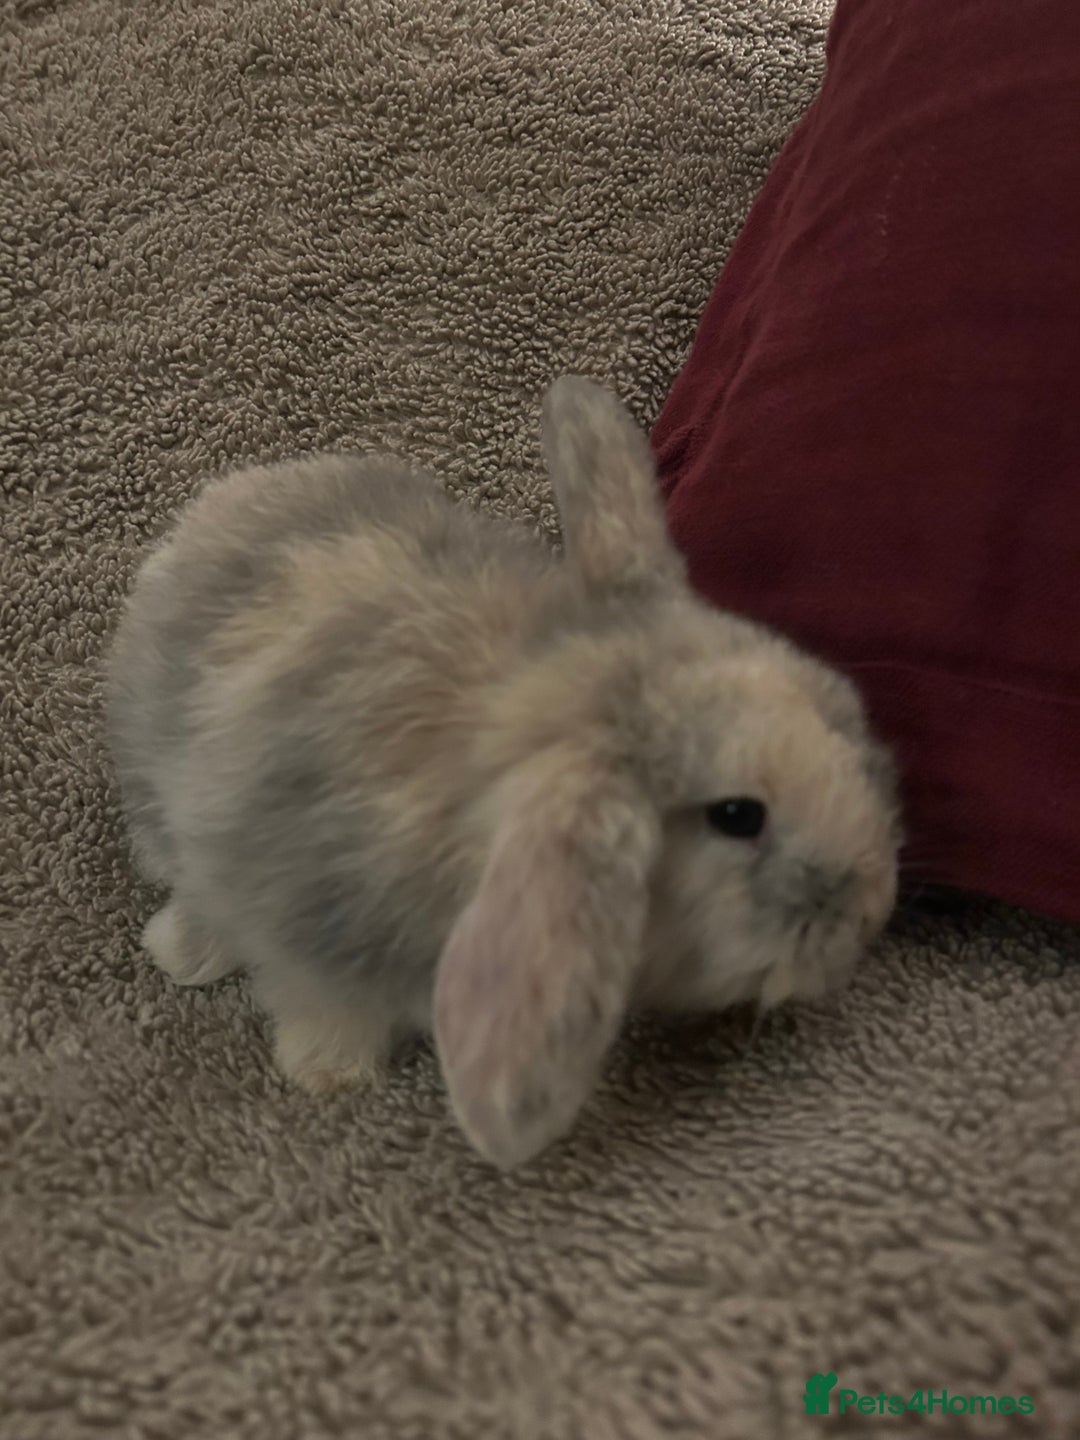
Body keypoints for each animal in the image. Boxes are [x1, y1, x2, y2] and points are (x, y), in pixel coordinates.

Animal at [105, 376, 901, 1170]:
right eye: (737, 816)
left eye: (837, 705)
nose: (869, 914)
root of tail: (207, 514)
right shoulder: (302, 926)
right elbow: (319, 1003)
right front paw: (329, 1077)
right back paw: (183, 950)